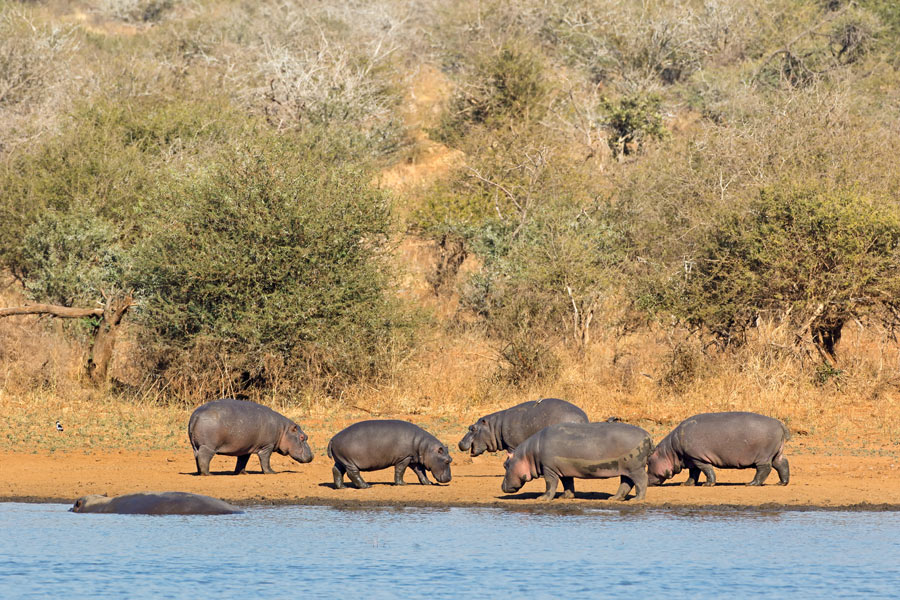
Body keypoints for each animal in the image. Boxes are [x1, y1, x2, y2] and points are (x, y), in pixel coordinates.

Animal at [326, 420, 454, 490]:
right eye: (447, 461)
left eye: (451, 459)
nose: (449, 478)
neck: (426, 447)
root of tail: (332, 439)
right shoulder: (404, 458)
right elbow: (400, 470)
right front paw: (402, 484)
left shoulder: (414, 459)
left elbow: (420, 472)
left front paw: (428, 483)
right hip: (349, 461)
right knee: (352, 473)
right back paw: (366, 486)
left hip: (341, 460)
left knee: (336, 470)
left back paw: (342, 487)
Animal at [458, 400, 592, 458]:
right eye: (469, 427)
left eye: (473, 428)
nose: (460, 442)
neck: (493, 427)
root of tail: (583, 418)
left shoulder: (512, 445)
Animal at [500, 422, 652, 502]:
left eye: (505, 465)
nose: (502, 486)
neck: (528, 454)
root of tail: (648, 435)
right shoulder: (563, 469)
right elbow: (567, 483)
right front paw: (565, 497)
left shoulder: (548, 469)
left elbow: (550, 484)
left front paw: (542, 498)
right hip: (626, 469)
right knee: (626, 483)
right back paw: (613, 499)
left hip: (635, 468)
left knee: (641, 480)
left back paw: (636, 500)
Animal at [648, 412, 788, 488]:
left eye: (648, 462)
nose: (646, 482)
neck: (669, 452)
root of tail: (780, 424)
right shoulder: (691, 459)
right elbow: (693, 474)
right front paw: (686, 484)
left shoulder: (698, 458)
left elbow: (707, 470)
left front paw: (707, 484)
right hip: (775, 453)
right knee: (782, 463)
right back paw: (781, 483)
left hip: (763, 456)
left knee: (764, 469)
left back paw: (751, 484)